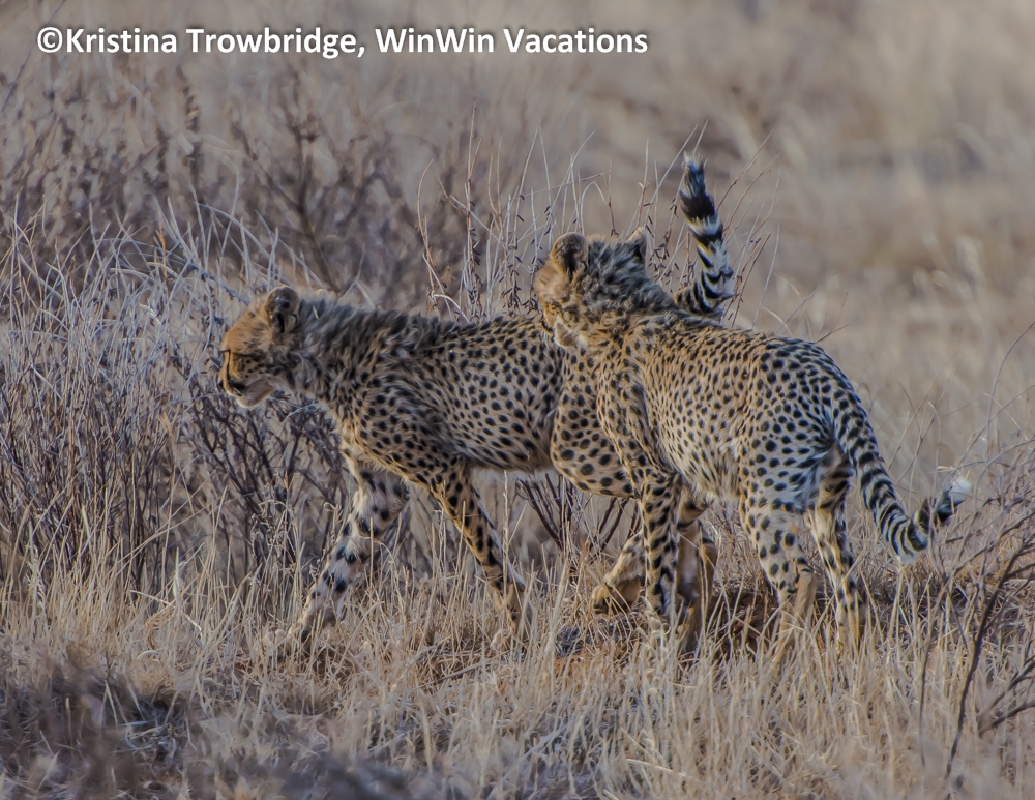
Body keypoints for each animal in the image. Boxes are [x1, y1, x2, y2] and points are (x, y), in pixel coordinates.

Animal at [218, 157, 736, 648]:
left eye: (233, 352)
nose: (224, 383)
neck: (325, 356)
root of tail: (653, 310)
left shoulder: (442, 469)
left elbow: (487, 555)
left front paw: (520, 627)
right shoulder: (380, 489)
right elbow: (336, 571)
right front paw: (291, 643)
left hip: (581, 449)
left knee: (680, 488)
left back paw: (621, 589)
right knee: (696, 527)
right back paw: (679, 610)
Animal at [533, 224, 969, 652]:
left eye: (541, 291)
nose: (544, 324)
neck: (626, 311)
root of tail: (828, 373)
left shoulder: (656, 475)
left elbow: (658, 562)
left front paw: (656, 635)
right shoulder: (693, 474)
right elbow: (651, 539)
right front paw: (613, 593)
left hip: (762, 498)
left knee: (801, 581)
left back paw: (778, 665)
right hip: (825, 501)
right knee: (849, 586)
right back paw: (848, 660)